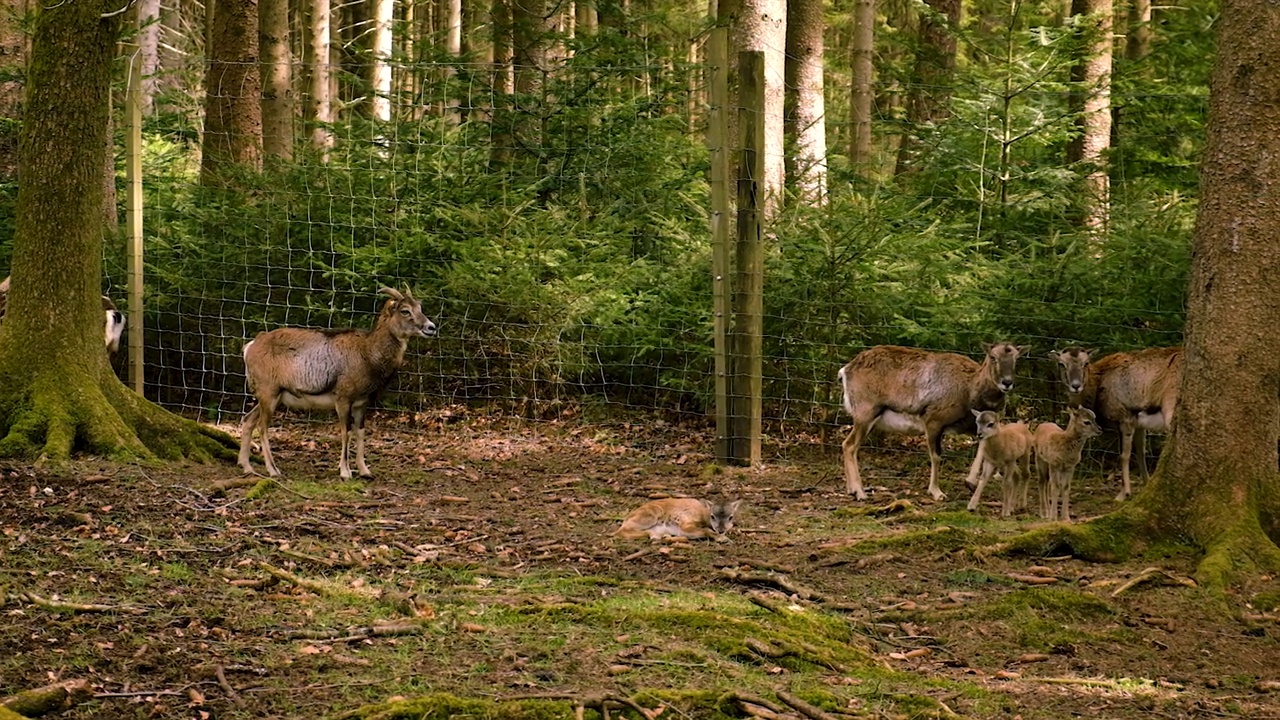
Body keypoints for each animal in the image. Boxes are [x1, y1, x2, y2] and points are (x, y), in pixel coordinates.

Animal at [238, 284, 437, 476]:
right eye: (405, 310)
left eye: (419, 307)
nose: (431, 327)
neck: (367, 353)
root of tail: (250, 347)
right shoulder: (343, 400)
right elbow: (345, 433)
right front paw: (345, 472)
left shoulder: (361, 404)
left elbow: (360, 433)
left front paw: (365, 472)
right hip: (269, 394)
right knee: (262, 427)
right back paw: (273, 470)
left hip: (271, 397)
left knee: (248, 421)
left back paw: (247, 467)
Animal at [834, 340, 1024, 499]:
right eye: (993, 357)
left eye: (1016, 358)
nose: (1007, 382)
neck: (969, 389)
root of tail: (846, 370)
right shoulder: (934, 422)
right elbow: (936, 456)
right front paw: (937, 492)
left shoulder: (972, 426)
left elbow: (982, 446)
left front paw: (970, 482)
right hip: (865, 416)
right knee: (850, 445)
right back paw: (859, 492)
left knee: (846, 445)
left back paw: (851, 490)